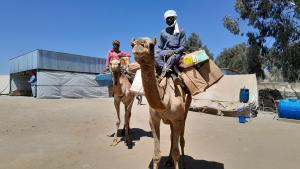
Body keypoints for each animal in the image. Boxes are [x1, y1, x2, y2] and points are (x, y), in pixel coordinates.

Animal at [131, 37, 192, 169]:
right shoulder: (153, 119)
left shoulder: (177, 120)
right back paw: (169, 161)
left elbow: (176, 153)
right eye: (131, 44)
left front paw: (176, 161)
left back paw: (184, 164)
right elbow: (156, 154)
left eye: (151, 45)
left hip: (185, 112)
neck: (164, 102)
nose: (138, 46)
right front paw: (165, 159)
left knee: (181, 139)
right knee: (172, 136)